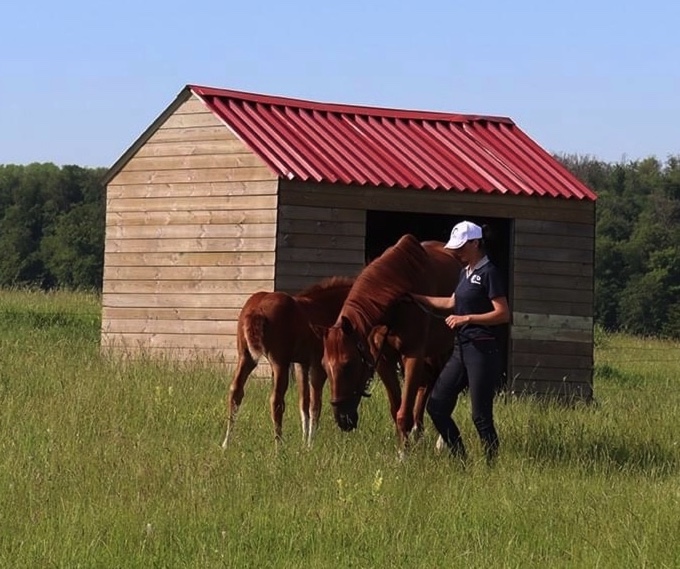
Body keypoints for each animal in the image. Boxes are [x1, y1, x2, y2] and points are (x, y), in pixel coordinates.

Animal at [221, 276, 355, 449]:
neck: (326, 309)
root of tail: (256, 310)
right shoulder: (318, 364)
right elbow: (315, 404)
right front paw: (310, 444)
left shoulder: (301, 363)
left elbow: (304, 402)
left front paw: (304, 442)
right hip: (279, 362)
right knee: (276, 400)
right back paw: (279, 446)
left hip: (246, 357)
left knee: (235, 392)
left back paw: (226, 443)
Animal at [320, 234, 463, 449]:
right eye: (324, 366)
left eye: (349, 364)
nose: (342, 419)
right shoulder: (383, 361)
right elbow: (396, 410)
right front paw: (404, 447)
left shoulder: (413, 356)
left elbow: (404, 413)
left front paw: (405, 453)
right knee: (425, 387)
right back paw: (418, 433)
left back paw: (439, 442)